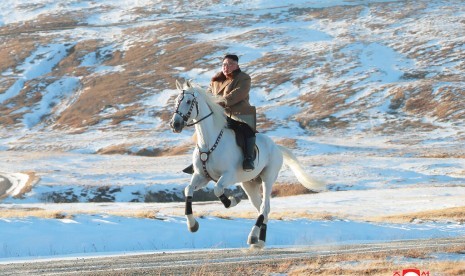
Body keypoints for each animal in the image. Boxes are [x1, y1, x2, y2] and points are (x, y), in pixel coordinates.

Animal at [169, 80, 324, 250]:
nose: (175, 124)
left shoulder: (228, 176)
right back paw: (259, 241)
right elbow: (188, 190)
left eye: (188, 101)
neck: (209, 142)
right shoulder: (201, 176)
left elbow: (218, 190)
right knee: (263, 209)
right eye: (176, 101)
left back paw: (253, 237)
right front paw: (192, 225)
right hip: (249, 184)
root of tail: (276, 147)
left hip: (267, 179)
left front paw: (232, 201)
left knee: (264, 207)